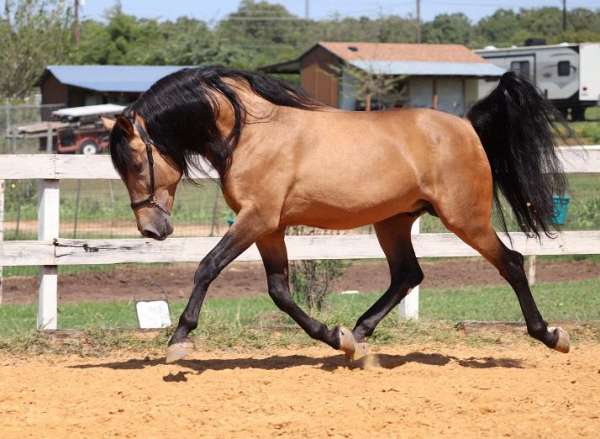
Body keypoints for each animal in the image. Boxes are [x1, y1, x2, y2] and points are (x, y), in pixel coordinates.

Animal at [104, 67, 572, 364]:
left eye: (136, 164)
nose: (151, 230)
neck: (249, 132)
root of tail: (468, 126)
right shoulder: (269, 227)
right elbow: (280, 291)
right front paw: (333, 336)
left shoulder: (257, 219)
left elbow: (207, 267)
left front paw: (178, 340)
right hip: (393, 222)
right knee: (408, 275)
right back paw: (358, 338)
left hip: (465, 219)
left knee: (511, 263)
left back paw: (550, 335)